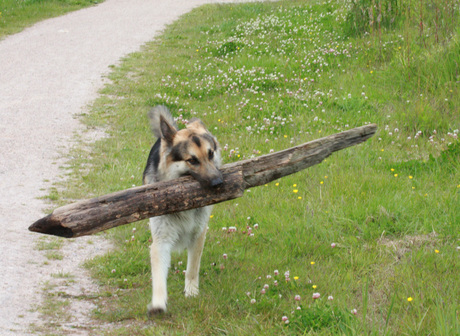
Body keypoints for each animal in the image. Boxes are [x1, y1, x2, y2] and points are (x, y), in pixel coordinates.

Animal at [143, 105, 224, 316]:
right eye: (192, 160)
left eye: (210, 154)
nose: (218, 183)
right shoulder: (160, 241)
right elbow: (159, 276)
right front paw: (158, 302)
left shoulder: (198, 234)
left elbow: (193, 268)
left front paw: (192, 292)